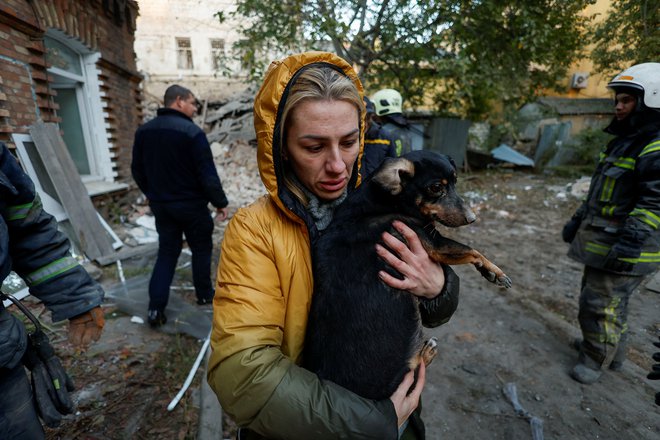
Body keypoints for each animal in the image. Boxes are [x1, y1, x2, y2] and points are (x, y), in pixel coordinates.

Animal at [302, 150, 512, 400]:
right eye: (435, 187)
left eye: (455, 182)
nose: (472, 218)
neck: (387, 201)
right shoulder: (434, 243)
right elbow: (470, 249)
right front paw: (494, 271)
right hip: (404, 373)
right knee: (417, 369)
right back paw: (428, 351)